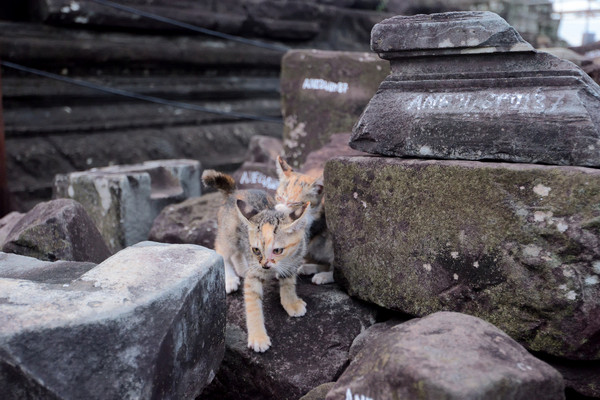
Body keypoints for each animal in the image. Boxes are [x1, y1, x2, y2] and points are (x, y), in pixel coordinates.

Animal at [204, 170, 312, 352]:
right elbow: (253, 305)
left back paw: (242, 268)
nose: (265, 265)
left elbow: (288, 284)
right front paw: (258, 338)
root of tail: (234, 192)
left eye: (277, 250)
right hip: (229, 235)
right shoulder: (254, 274)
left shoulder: (293, 262)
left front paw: (291, 302)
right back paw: (230, 279)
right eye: (256, 250)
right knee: (221, 249)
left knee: (237, 253)